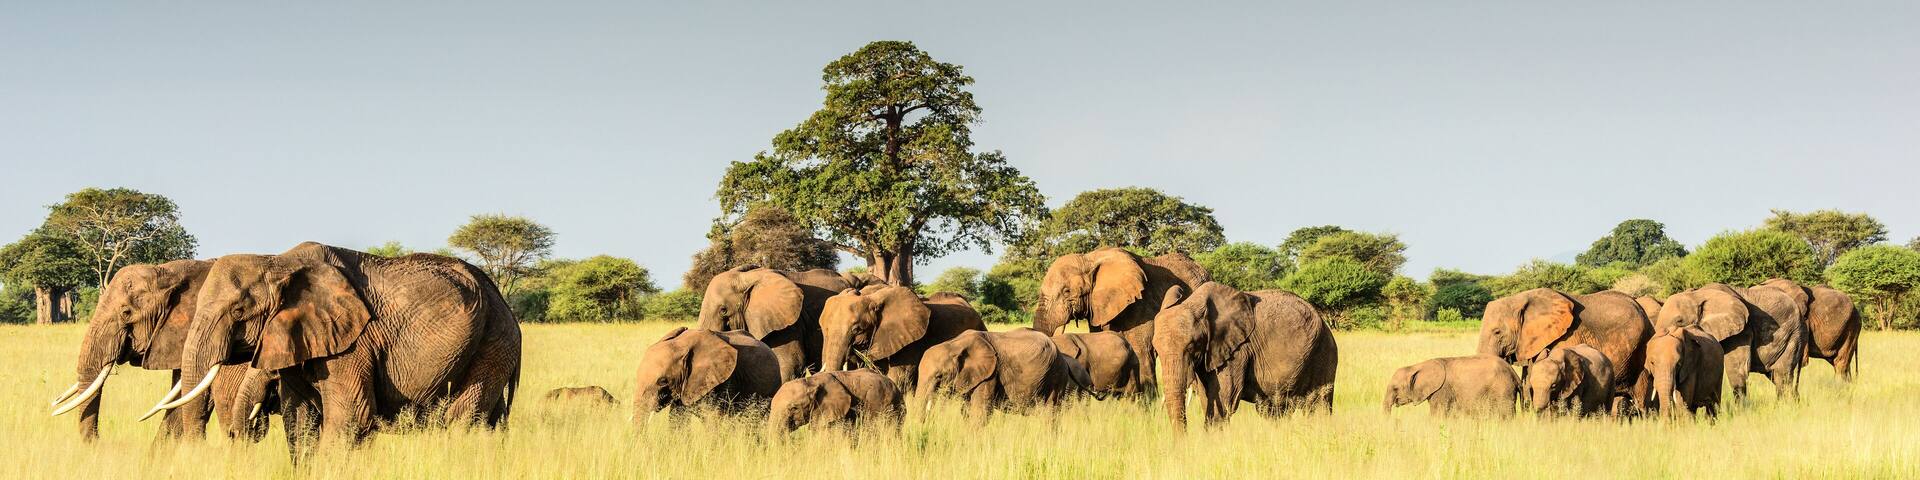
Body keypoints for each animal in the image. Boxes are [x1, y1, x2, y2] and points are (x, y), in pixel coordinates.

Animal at [141, 243, 522, 454]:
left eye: (238, 311)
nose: (237, 436)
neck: (278, 262)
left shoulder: (354, 342)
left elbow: (350, 418)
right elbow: (300, 423)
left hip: (494, 341)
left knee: (463, 419)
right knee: (490, 421)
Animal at [914, 329, 1092, 424]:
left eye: (939, 376)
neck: (954, 343)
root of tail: (1064, 358)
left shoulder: (990, 375)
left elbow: (980, 413)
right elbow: (966, 411)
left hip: (1055, 376)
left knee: (1051, 412)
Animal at [1153, 283, 1338, 432]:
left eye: (1192, 345)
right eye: (1156, 350)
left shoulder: (1237, 350)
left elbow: (1224, 401)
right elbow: (1207, 399)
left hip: (1323, 354)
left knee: (1318, 406)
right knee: (1276, 410)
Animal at [1382, 355, 1518, 418]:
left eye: (1395, 388)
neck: (1417, 366)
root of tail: (1513, 373)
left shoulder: (1441, 390)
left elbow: (1437, 414)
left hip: (1503, 390)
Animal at [1657, 281, 1808, 402]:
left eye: (1679, 321)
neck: (1697, 295)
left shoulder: (1742, 331)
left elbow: (1738, 369)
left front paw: (1741, 412)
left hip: (1792, 335)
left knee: (1782, 376)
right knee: (1776, 376)